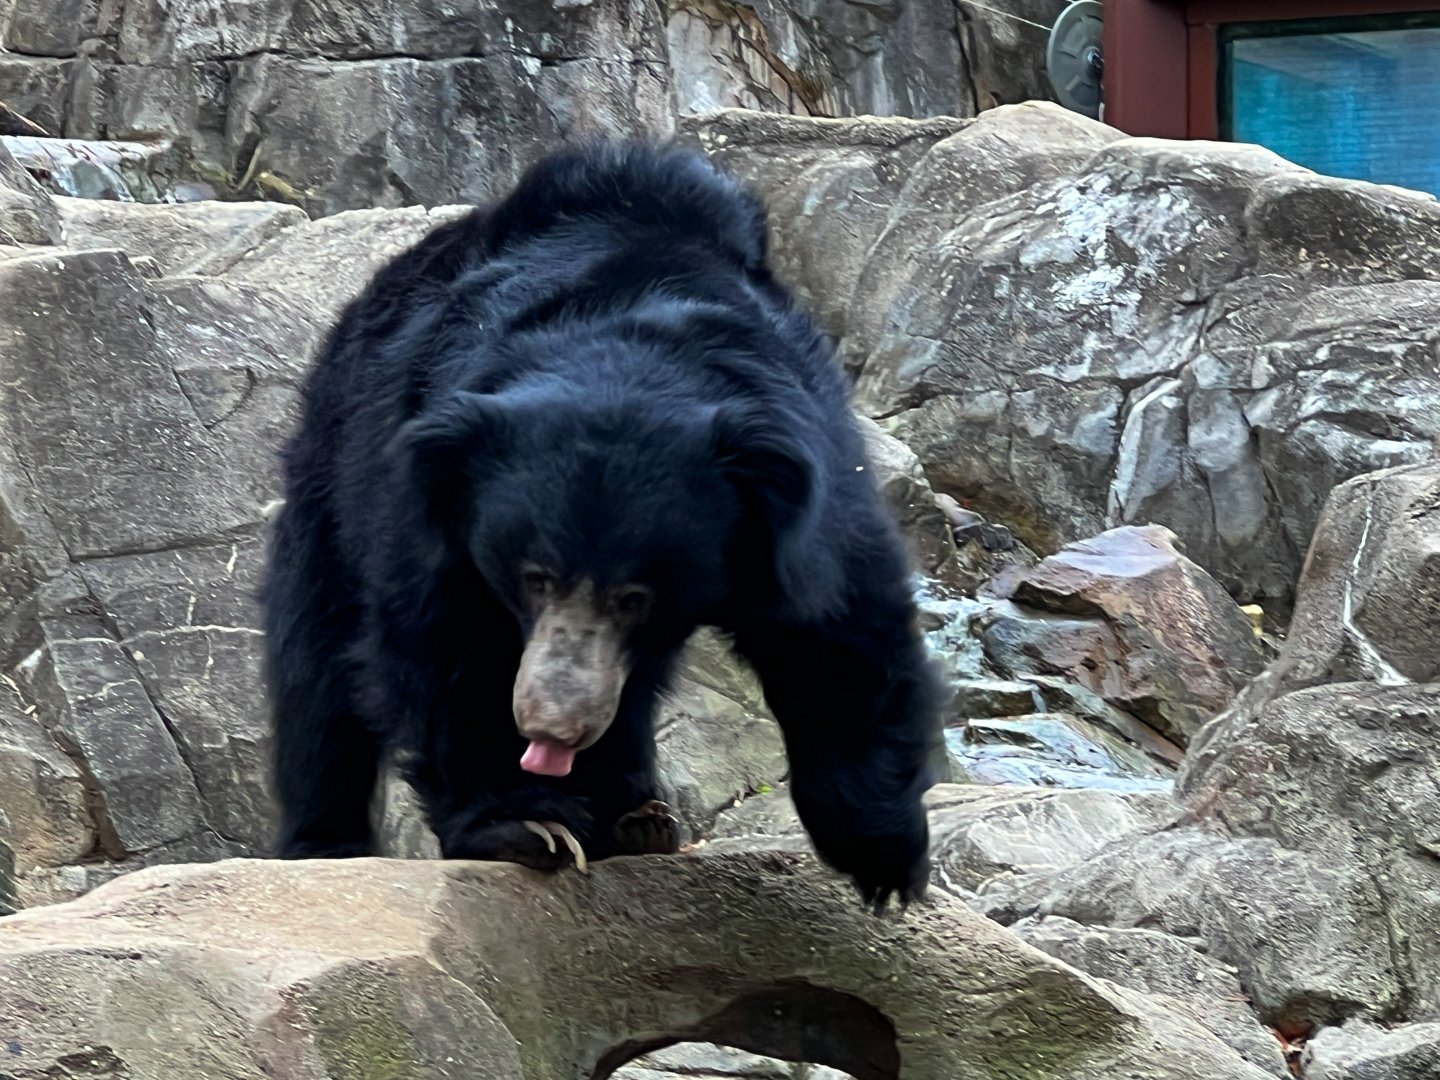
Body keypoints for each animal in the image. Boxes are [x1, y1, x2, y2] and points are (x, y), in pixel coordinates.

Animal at [260, 139, 944, 913]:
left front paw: (885, 860)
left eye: (635, 597)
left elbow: (837, 637)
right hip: (332, 459)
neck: (624, 353)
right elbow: (443, 638)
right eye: (532, 578)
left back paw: (636, 816)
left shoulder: (805, 484)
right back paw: (326, 841)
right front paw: (527, 823)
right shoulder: (427, 501)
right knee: (316, 661)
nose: (550, 725)